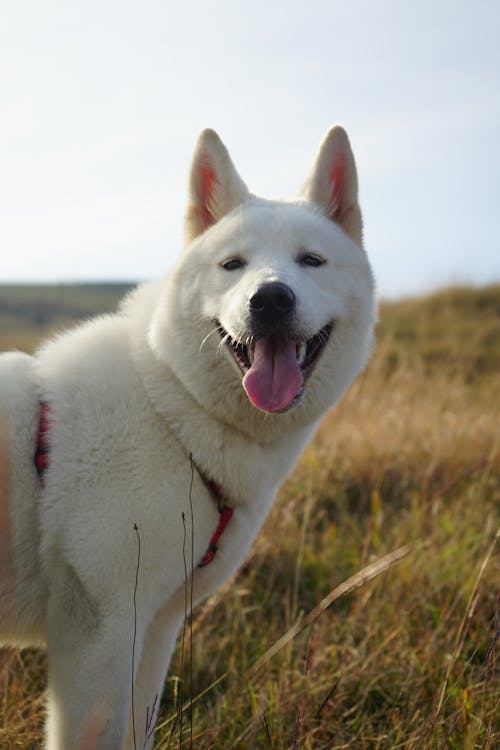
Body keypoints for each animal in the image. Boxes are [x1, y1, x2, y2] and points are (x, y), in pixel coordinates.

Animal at [0, 126, 376, 748]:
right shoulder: (101, 633)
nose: (270, 299)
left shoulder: (154, 629)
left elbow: (138, 731)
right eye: (232, 265)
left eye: (311, 261)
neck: (171, 407)